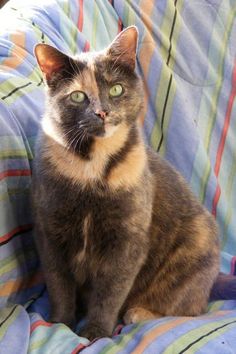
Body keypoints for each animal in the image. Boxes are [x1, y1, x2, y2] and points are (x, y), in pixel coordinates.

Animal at [32, 24, 221, 340]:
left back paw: (139, 312)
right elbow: (59, 285)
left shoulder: (126, 242)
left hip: (196, 244)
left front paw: (95, 332)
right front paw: (60, 323)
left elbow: (110, 293)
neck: (91, 167)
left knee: (190, 308)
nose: (102, 111)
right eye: (78, 96)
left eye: (116, 89)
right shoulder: (51, 233)